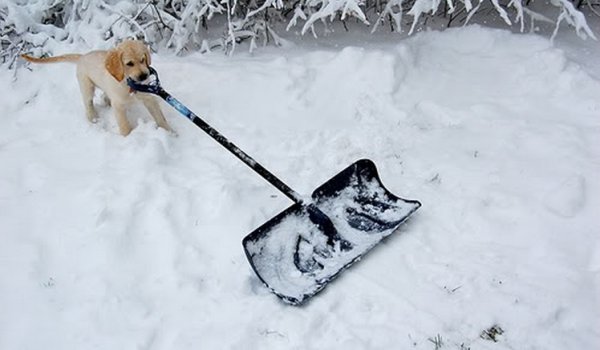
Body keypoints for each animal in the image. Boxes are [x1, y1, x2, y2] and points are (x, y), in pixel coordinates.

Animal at [21, 39, 171, 135]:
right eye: (129, 63)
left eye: (142, 59)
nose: (144, 76)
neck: (128, 83)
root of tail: (82, 57)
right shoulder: (118, 105)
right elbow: (124, 125)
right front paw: (128, 137)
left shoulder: (149, 98)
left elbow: (160, 118)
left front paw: (170, 133)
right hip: (86, 86)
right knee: (88, 103)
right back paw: (93, 118)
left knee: (104, 95)